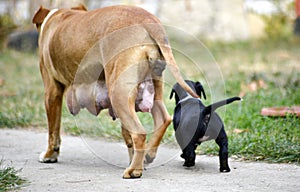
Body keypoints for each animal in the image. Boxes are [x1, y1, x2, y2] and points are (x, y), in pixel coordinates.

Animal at [32, 4, 198, 178]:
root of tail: (149, 20)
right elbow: (127, 136)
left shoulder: (52, 91)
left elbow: (53, 130)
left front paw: (50, 155)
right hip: (151, 88)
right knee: (163, 119)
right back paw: (147, 156)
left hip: (118, 95)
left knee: (139, 133)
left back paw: (134, 170)